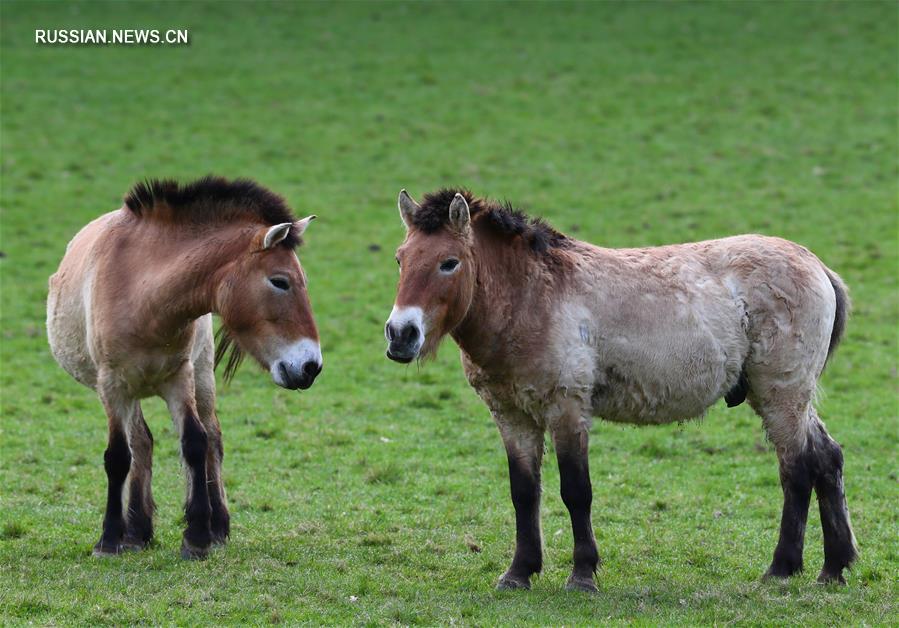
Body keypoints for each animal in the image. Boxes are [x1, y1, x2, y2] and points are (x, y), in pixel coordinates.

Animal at [47, 177, 324, 560]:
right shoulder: (112, 386)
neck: (142, 292)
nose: (311, 366)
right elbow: (118, 456)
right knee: (141, 444)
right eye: (280, 281)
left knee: (211, 440)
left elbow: (195, 442)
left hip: (202, 376)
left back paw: (215, 525)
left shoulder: (180, 378)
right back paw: (137, 532)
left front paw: (198, 536)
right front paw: (109, 539)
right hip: (131, 391)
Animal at [384, 189, 856, 592]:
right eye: (401, 259)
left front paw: (582, 575)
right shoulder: (512, 416)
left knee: (797, 468)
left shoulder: (567, 409)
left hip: (781, 394)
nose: (401, 334)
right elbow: (524, 493)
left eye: (449, 262)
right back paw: (834, 567)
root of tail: (815, 265)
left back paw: (782, 568)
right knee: (826, 458)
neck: (531, 296)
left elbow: (576, 491)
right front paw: (518, 573)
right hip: (787, 398)